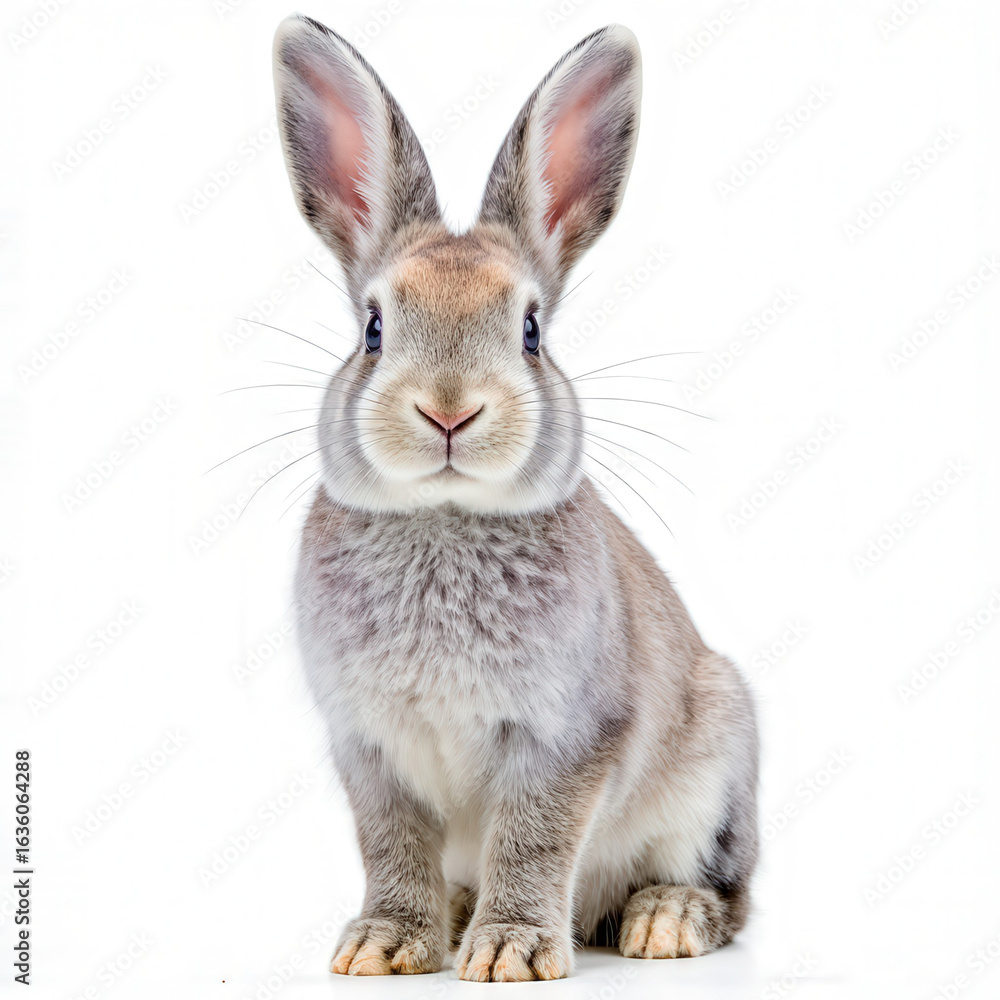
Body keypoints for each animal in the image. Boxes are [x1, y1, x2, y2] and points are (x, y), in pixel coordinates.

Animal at [273, 13, 758, 982]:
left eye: (531, 331)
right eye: (373, 329)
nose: (449, 408)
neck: (444, 518)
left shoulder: (566, 740)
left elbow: (534, 841)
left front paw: (510, 953)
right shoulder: (369, 749)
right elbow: (390, 844)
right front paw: (385, 944)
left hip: (715, 771)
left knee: (728, 894)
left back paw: (662, 922)